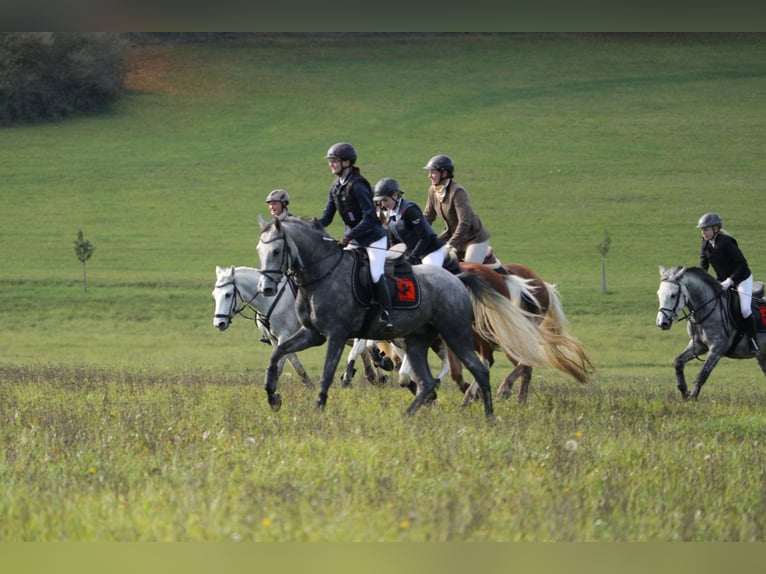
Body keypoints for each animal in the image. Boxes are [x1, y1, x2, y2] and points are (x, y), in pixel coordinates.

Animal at [260, 216, 552, 418]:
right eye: (259, 251)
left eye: (276, 251)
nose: (267, 289)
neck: (323, 273)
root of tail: (457, 278)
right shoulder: (313, 334)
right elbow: (277, 354)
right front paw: (272, 396)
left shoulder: (336, 335)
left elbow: (327, 373)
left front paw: (318, 408)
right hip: (417, 341)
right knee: (427, 382)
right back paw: (409, 415)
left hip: (457, 335)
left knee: (482, 368)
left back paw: (489, 412)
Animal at [452, 262, 596, 404]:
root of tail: (544, 285)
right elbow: (456, 372)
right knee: (524, 366)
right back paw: (516, 399)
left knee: (526, 361)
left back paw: (507, 391)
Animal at [660, 266, 766, 400]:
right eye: (659, 294)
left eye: (673, 295)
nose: (662, 323)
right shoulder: (698, 345)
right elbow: (678, 362)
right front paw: (684, 391)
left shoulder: (716, 350)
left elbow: (702, 374)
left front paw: (692, 398)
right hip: (762, 355)